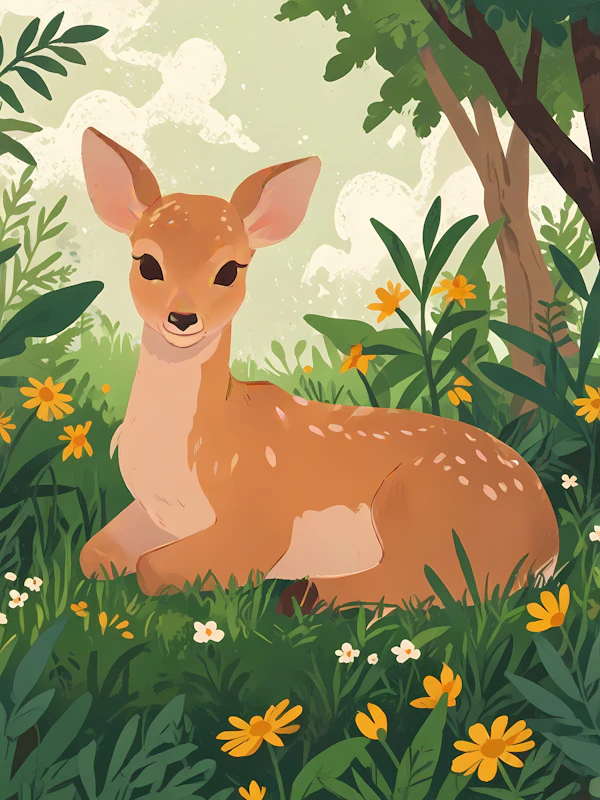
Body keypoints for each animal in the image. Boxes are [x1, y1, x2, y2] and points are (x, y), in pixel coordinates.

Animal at [79, 127, 559, 609]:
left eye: (230, 269)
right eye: (147, 262)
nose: (182, 318)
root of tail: (547, 541)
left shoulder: (258, 520)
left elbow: (152, 569)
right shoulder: (151, 514)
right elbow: (92, 553)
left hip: (427, 503)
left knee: (441, 582)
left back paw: (303, 593)